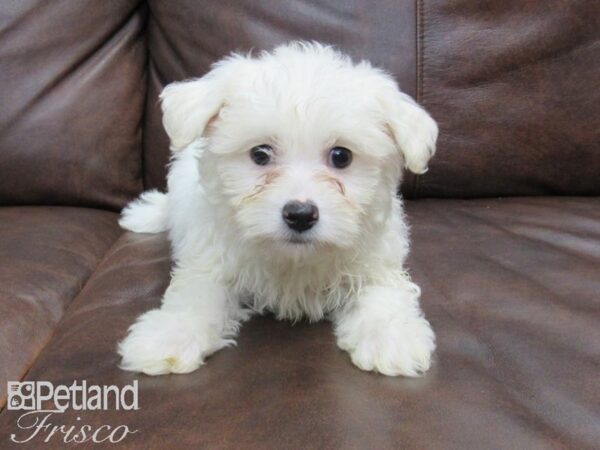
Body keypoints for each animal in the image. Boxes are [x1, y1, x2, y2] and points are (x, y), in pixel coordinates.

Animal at [117, 42, 438, 378]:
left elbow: (383, 294)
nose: (300, 214)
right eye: (260, 154)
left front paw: (391, 338)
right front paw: (169, 336)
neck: (293, 260)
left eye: (341, 156)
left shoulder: (376, 262)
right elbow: (195, 295)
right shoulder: (210, 259)